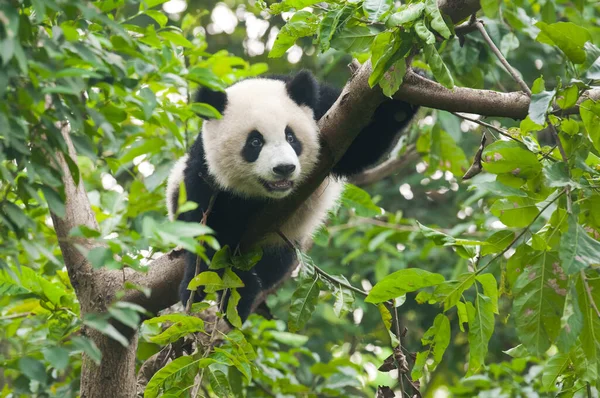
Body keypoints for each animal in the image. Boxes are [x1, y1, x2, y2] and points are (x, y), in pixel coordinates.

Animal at [164, 70, 418, 322]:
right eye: (255, 142)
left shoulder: (329, 112)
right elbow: (210, 230)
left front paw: (404, 94)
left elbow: (360, 147)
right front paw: (216, 289)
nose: (284, 168)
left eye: (291, 137)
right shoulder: (205, 170)